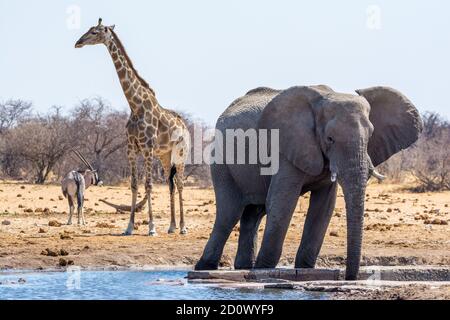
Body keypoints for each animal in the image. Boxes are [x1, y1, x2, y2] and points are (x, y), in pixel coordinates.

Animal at [75, 19, 190, 235]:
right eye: (88, 30)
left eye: (94, 32)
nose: (78, 42)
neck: (135, 105)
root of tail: (186, 128)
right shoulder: (131, 149)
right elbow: (134, 185)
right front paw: (129, 227)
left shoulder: (147, 149)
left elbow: (149, 185)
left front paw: (152, 228)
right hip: (165, 156)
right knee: (170, 184)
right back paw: (171, 226)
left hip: (181, 154)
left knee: (179, 183)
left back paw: (183, 227)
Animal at [195, 84, 424, 280]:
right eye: (330, 138)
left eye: (370, 137)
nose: (349, 277)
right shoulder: (287, 148)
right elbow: (283, 202)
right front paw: (264, 268)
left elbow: (323, 207)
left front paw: (304, 269)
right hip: (221, 163)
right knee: (229, 214)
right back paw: (205, 267)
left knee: (254, 213)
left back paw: (243, 267)